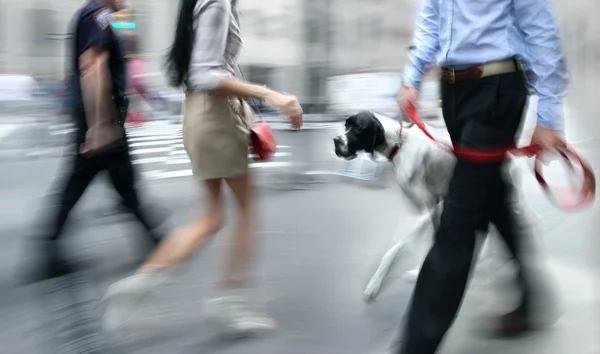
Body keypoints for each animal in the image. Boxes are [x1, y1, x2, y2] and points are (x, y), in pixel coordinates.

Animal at [332, 110, 540, 302]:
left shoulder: (426, 211)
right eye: (346, 125)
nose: (336, 140)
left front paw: (375, 283)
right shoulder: (423, 209)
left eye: (359, 128)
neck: (400, 143)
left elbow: (394, 249)